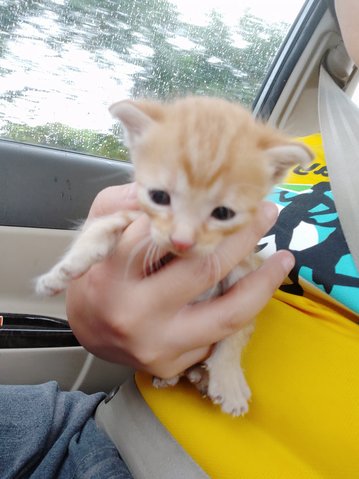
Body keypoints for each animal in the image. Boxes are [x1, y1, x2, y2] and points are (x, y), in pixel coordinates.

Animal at [36, 97, 312, 416]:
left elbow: (237, 330)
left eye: (223, 213)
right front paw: (63, 271)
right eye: (159, 197)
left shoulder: (244, 271)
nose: (181, 240)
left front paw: (228, 377)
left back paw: (199, 376)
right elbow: (101, 227)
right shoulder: (139, 220)